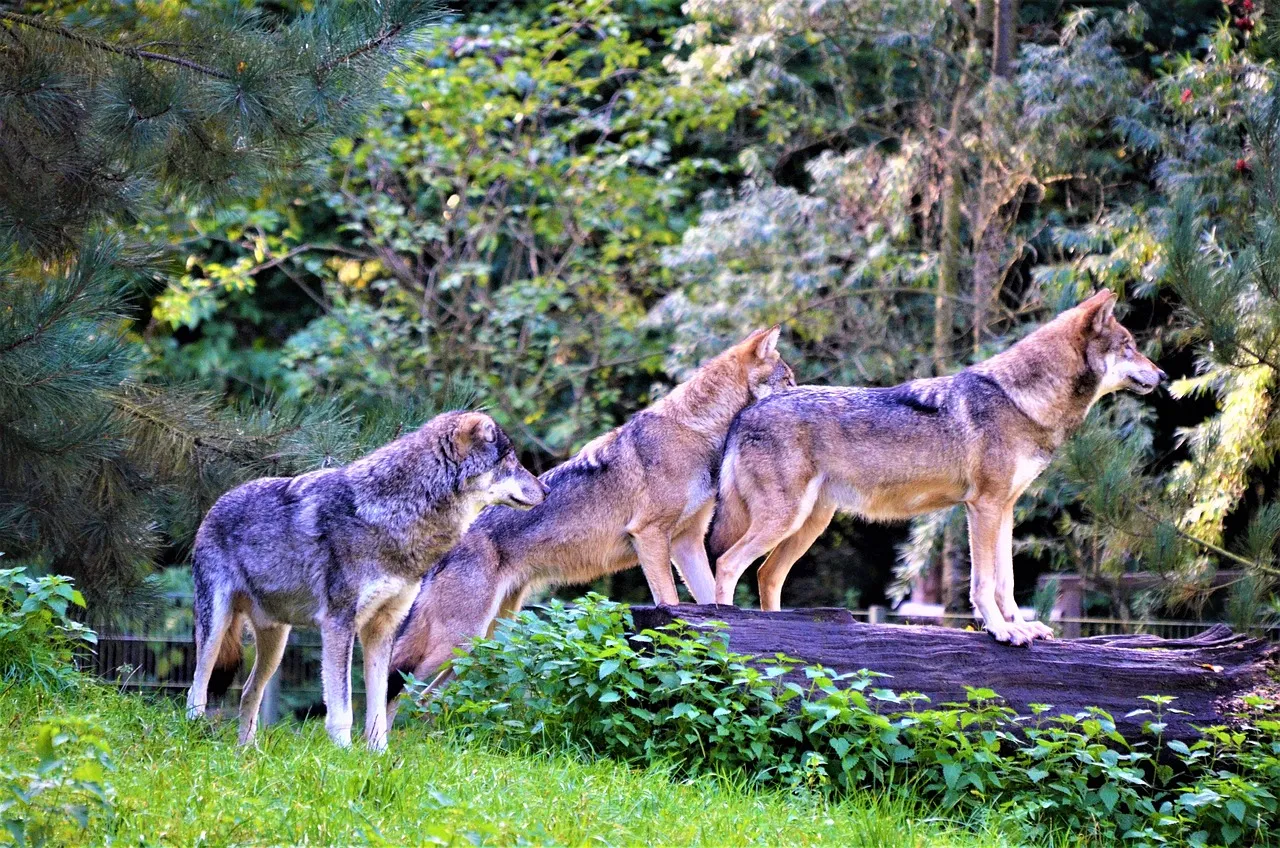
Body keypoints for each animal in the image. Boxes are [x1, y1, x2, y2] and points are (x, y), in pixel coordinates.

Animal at [183, 412, 542, 753]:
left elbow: (379, 707)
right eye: (510, 460)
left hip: (276, 643)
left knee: (247, 692)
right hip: (215, 628)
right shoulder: (338, 624)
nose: (546, 490)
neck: (393, 512)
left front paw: (378, 754)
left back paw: (247, 752)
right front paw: (343, 753)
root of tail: (217, 503)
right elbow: (342, 707)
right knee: (196, 687)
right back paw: (197, 736)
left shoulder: (382, 628)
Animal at [384, 327, 793, 707]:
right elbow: (669, 602)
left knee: (430, 701)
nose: (801, 394)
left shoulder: (687, 543)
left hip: (482, 643)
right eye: (788, 381)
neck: (695, 431)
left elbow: (710, 604)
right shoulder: (649, 535)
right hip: (457, 642)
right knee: (403, 694)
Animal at [706, 289, 1167, 648]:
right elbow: (984, 583)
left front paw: (1023, 627)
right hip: (785, 520)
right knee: (728, 564)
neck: (1021, 400)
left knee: (766, 575)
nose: (1162, 374)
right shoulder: (983, 507)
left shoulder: (1005, 509)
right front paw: (1001, 631)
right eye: (1128, 346)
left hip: (808, 524)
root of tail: (745, 414)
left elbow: (1007, 582)